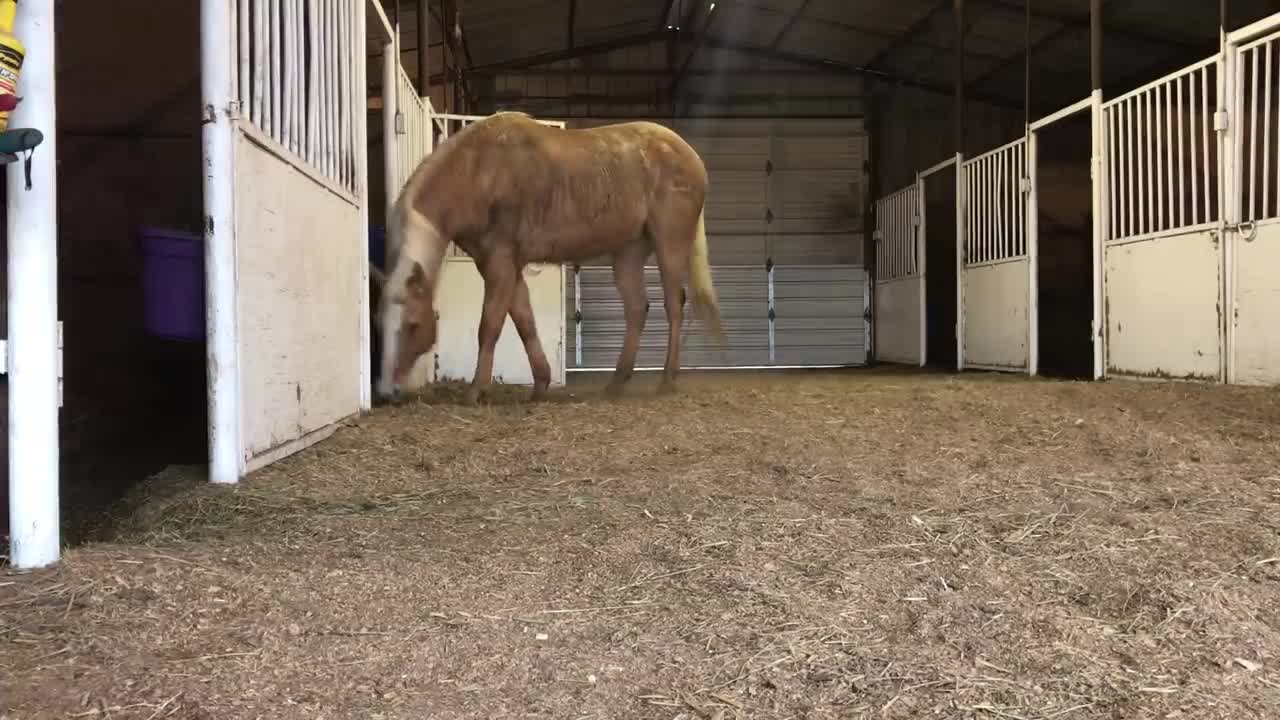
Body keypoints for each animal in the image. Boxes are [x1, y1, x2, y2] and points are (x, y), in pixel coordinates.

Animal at [373, 111, 727, 404]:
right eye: (377, 324)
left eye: (413, 325)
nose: (386, 393)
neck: (479, 172)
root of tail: (690, 155)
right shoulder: (502, 265)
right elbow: (524, 321)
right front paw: (540, 383)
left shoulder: (500, 262)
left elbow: (490, 325)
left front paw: (476, 391)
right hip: (628, 253)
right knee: (638, 308)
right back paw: (616, 383)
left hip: (669, 244)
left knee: (673, 305)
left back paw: (667, 380)